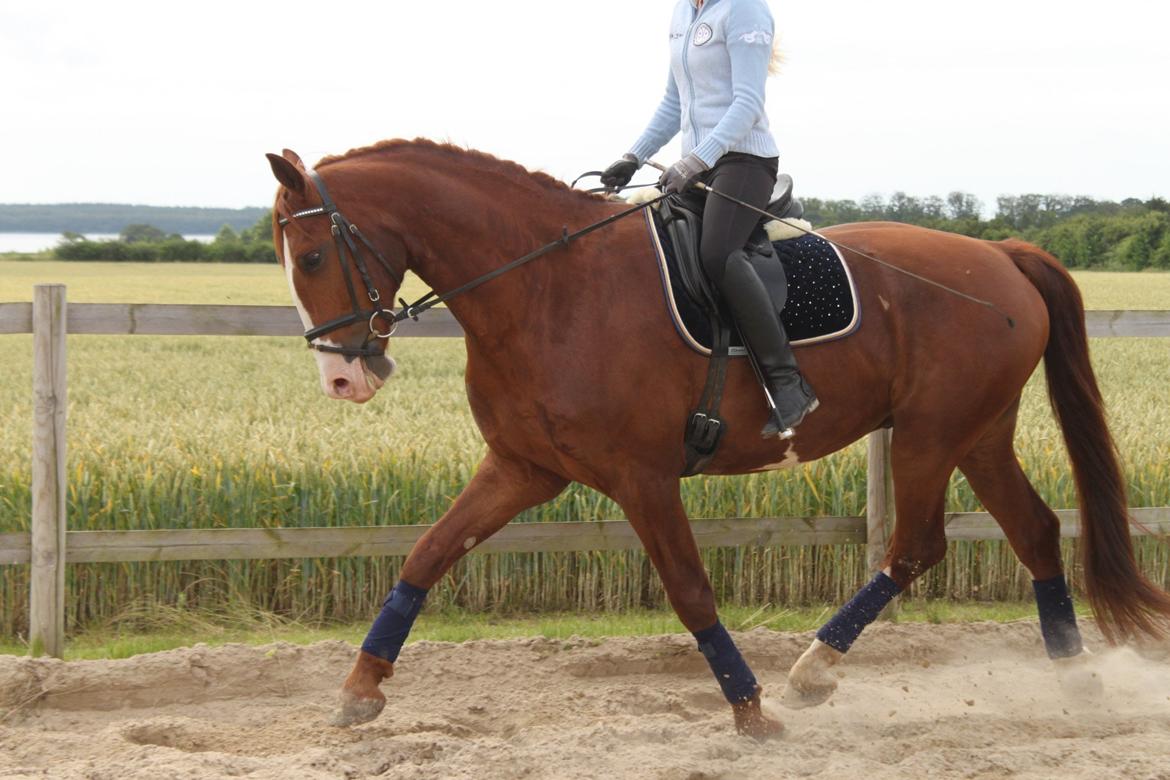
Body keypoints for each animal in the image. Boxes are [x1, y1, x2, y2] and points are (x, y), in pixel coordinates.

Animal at [267, 138, 1170, 739]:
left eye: (311, 255)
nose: (344, 379)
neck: (544, 287)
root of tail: (1003, 255)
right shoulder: (523, 469)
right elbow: (425, 555)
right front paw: (359, 691)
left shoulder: (642, 478)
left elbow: (691, 589)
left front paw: (749, 710)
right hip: (978, 434)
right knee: (1035, 531)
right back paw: (1074, 677)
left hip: (929, 434)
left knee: (917, 546)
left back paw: (811, 674)